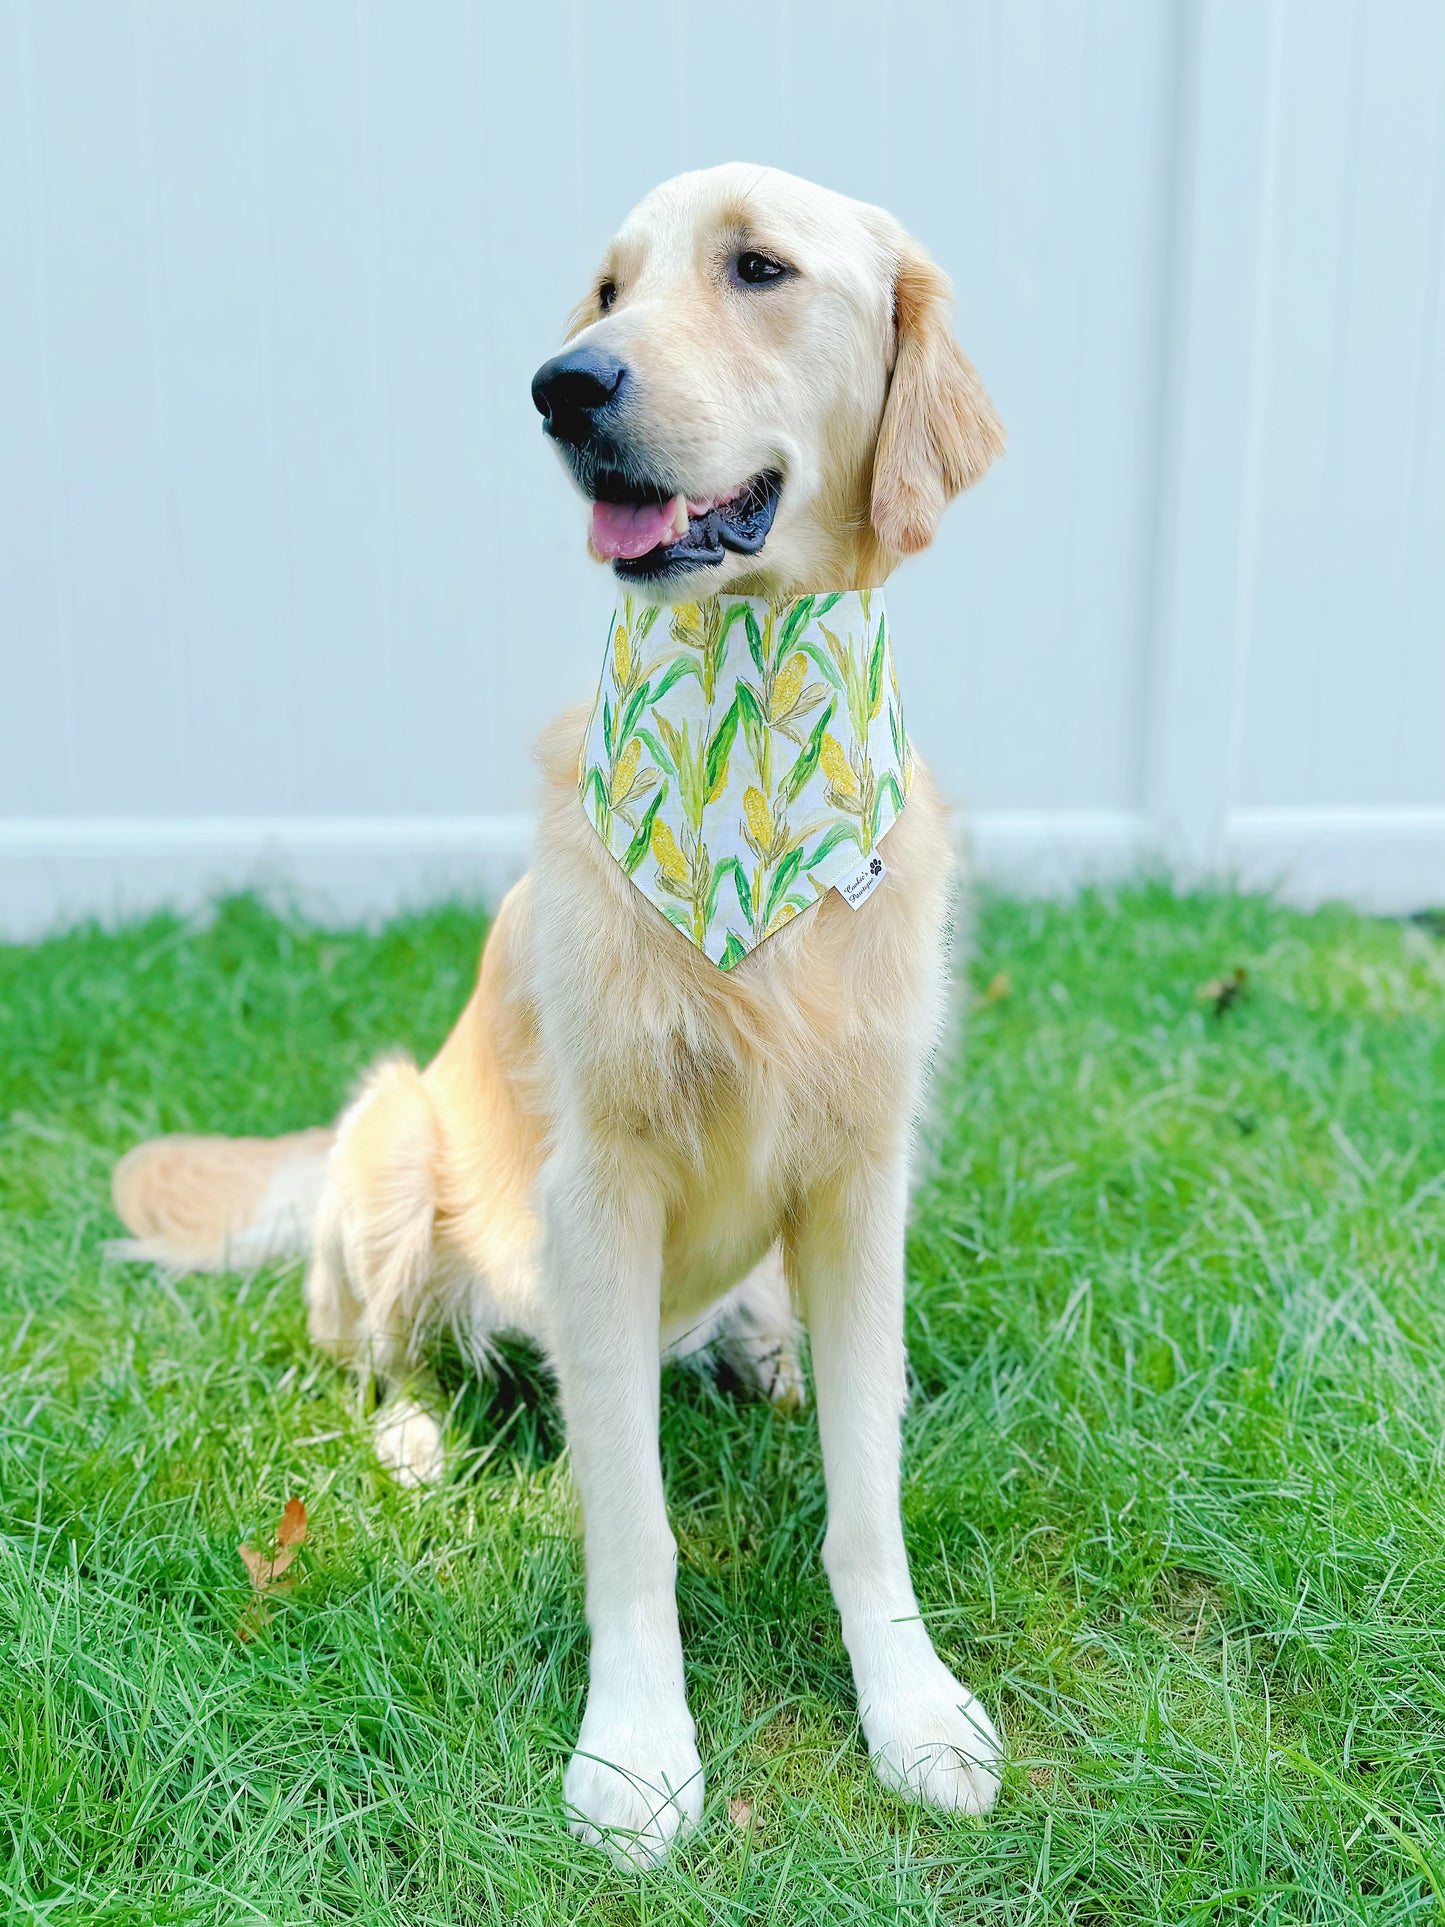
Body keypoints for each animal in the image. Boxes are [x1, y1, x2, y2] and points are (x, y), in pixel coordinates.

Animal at [116, 165, 1009, 1865]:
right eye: (604, 291)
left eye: (757, 268)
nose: (563, 387)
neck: (751, 706)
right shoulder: (601, 1189)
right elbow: (632, 1525)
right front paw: (640, 1752)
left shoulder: (862, 1176)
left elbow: (866, 1493)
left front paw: (910, 1705)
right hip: (397, 1139)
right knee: (371, 1351)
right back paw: (412, 1432)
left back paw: (762, 1354)